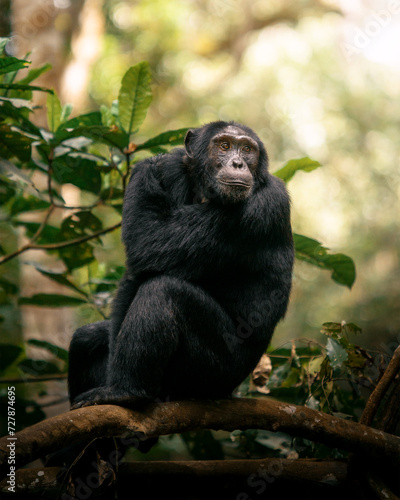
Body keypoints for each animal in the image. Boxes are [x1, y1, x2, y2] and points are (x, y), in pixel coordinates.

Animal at [69, 122, 294, 410]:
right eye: (224, 146)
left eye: (246, 149)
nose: (238, 163)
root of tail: (230, 390)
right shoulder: (174, 174)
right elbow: (136, 272)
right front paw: (156, 163)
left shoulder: (263, 206)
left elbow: (148, 242)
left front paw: (148, 165)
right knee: (84, 338)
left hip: (214, 371)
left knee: (164, 292)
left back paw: (125, 391)